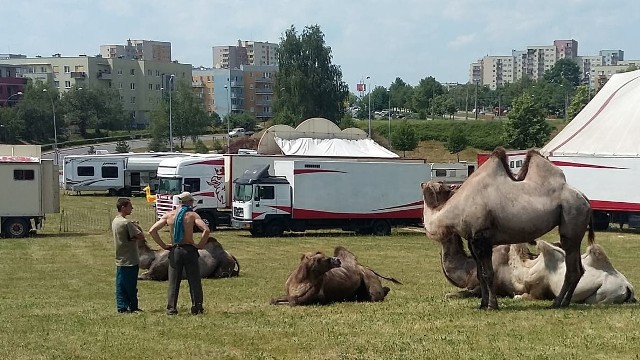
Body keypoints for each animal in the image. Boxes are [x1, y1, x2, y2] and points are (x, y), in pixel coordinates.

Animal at [420, 146, 596, 310]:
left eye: (437, 185)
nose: (422, 183)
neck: (455, 210)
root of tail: (585, 198)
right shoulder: (472, 240)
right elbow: (480, 273)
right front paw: (482, 304)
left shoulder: (483, 237)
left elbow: (488, 274)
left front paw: (492, 305)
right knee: (579, 269)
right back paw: (563, 302)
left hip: (572, 220)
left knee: (572, 268)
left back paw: (558, 302)